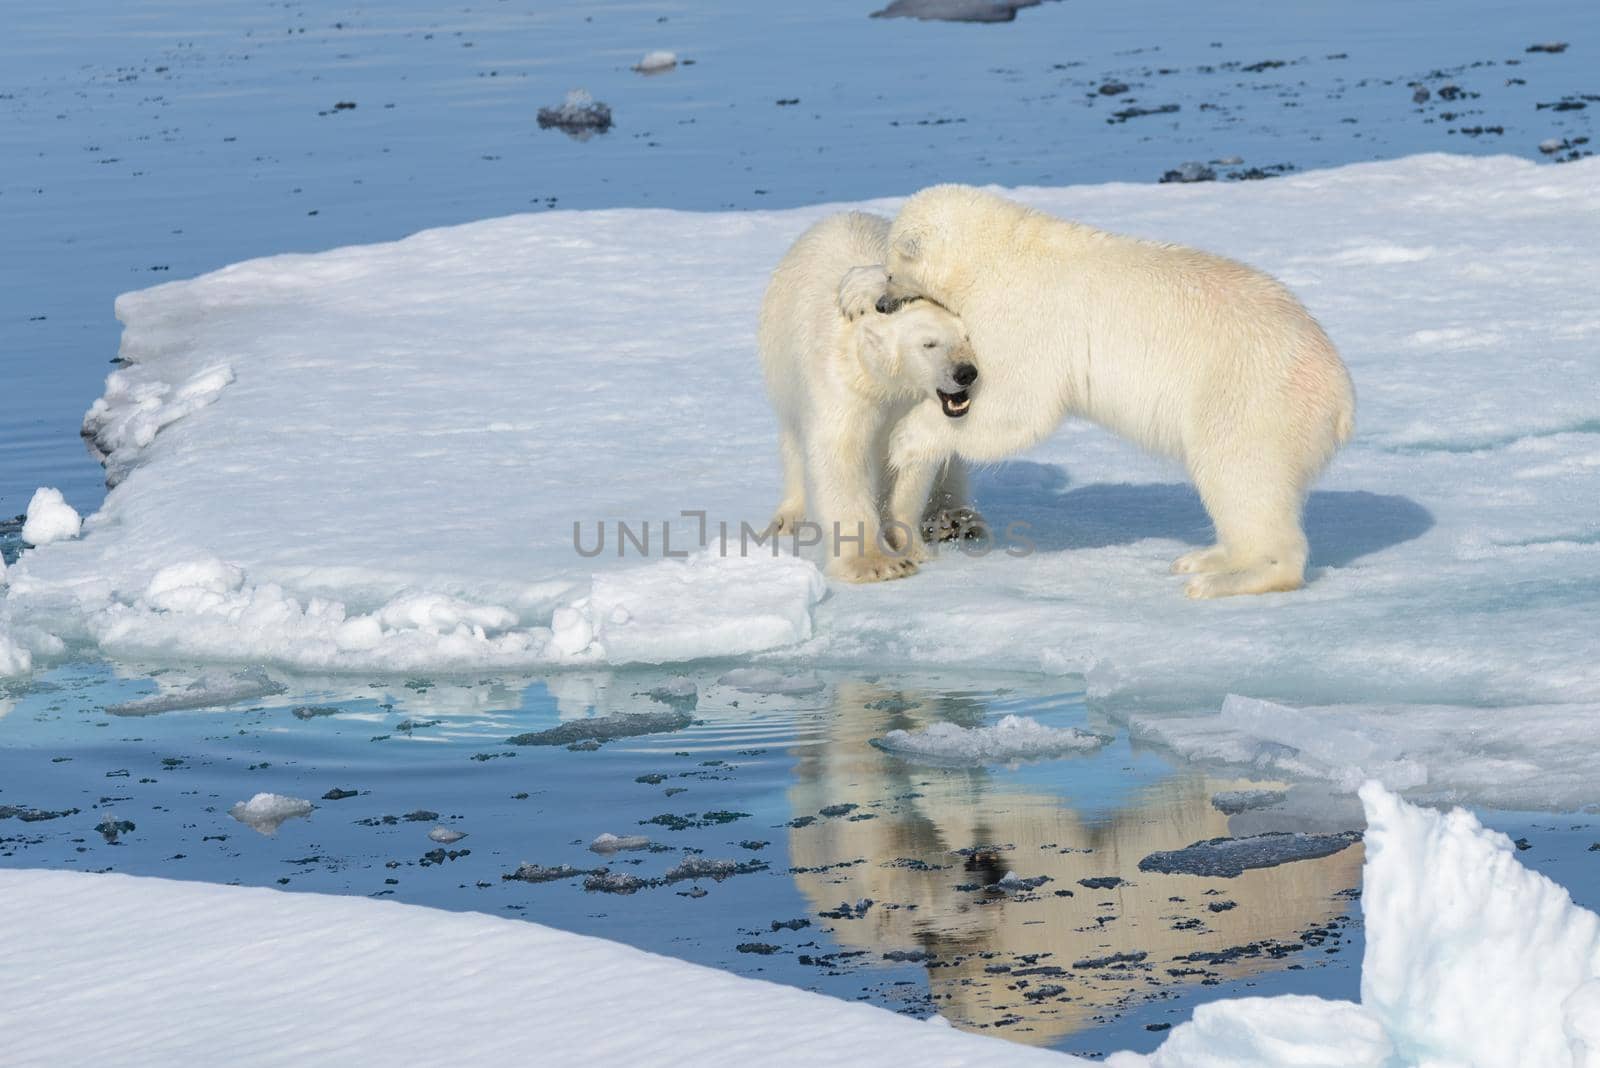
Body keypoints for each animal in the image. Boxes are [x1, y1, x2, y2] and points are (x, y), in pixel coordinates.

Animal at [761, 212, 985, 585]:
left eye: (969, 337)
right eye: (929, 343)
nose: (965, 373)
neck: (889, 383)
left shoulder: (914, 404)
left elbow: (914, 460)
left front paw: (908, 546)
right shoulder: (844, 383)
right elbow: (841, 453)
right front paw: (877, 563)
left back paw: (956, 519)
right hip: (781, 363)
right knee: (793, 438)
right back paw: (788, 518)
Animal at [844, 185, 1356, 601]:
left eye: (895, 269)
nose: (885, 302)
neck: (1005, 254)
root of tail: (1341, 395)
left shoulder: (1025, 315)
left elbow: (1020, 406)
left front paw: (906, 438)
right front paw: (853, 289)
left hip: (1251, 395)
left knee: (1242, 474)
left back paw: (1225, 578)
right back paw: (1205, 557)